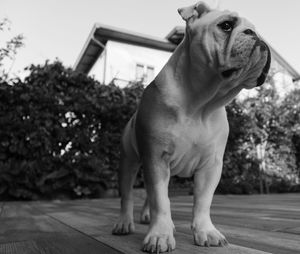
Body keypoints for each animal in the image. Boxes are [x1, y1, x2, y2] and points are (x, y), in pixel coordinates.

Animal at [111, 1, 270, 252]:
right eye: (226, 25)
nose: (258, 37)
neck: (201, 103)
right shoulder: (156, 158)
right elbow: (160, 201)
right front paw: (160, 234)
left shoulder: (210, 166)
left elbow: (202, 202)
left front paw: (206, 231)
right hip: (128, 162)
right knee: (127, 195)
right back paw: (124, 223)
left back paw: (146, 216)